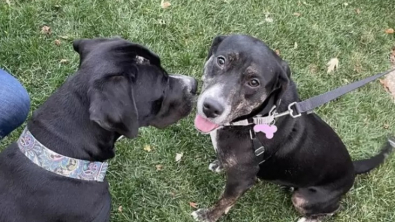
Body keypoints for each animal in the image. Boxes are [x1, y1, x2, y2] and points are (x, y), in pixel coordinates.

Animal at [192, 34, 392, 222]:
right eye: (221, 60)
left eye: (254, 82)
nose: (210, 107)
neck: (252, 121)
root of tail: (352, 168)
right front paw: (219, 164)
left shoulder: (241, 180)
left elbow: (224, 201)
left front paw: (208, 216)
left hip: (304, 198)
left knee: (335, 209)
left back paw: (309, 218)